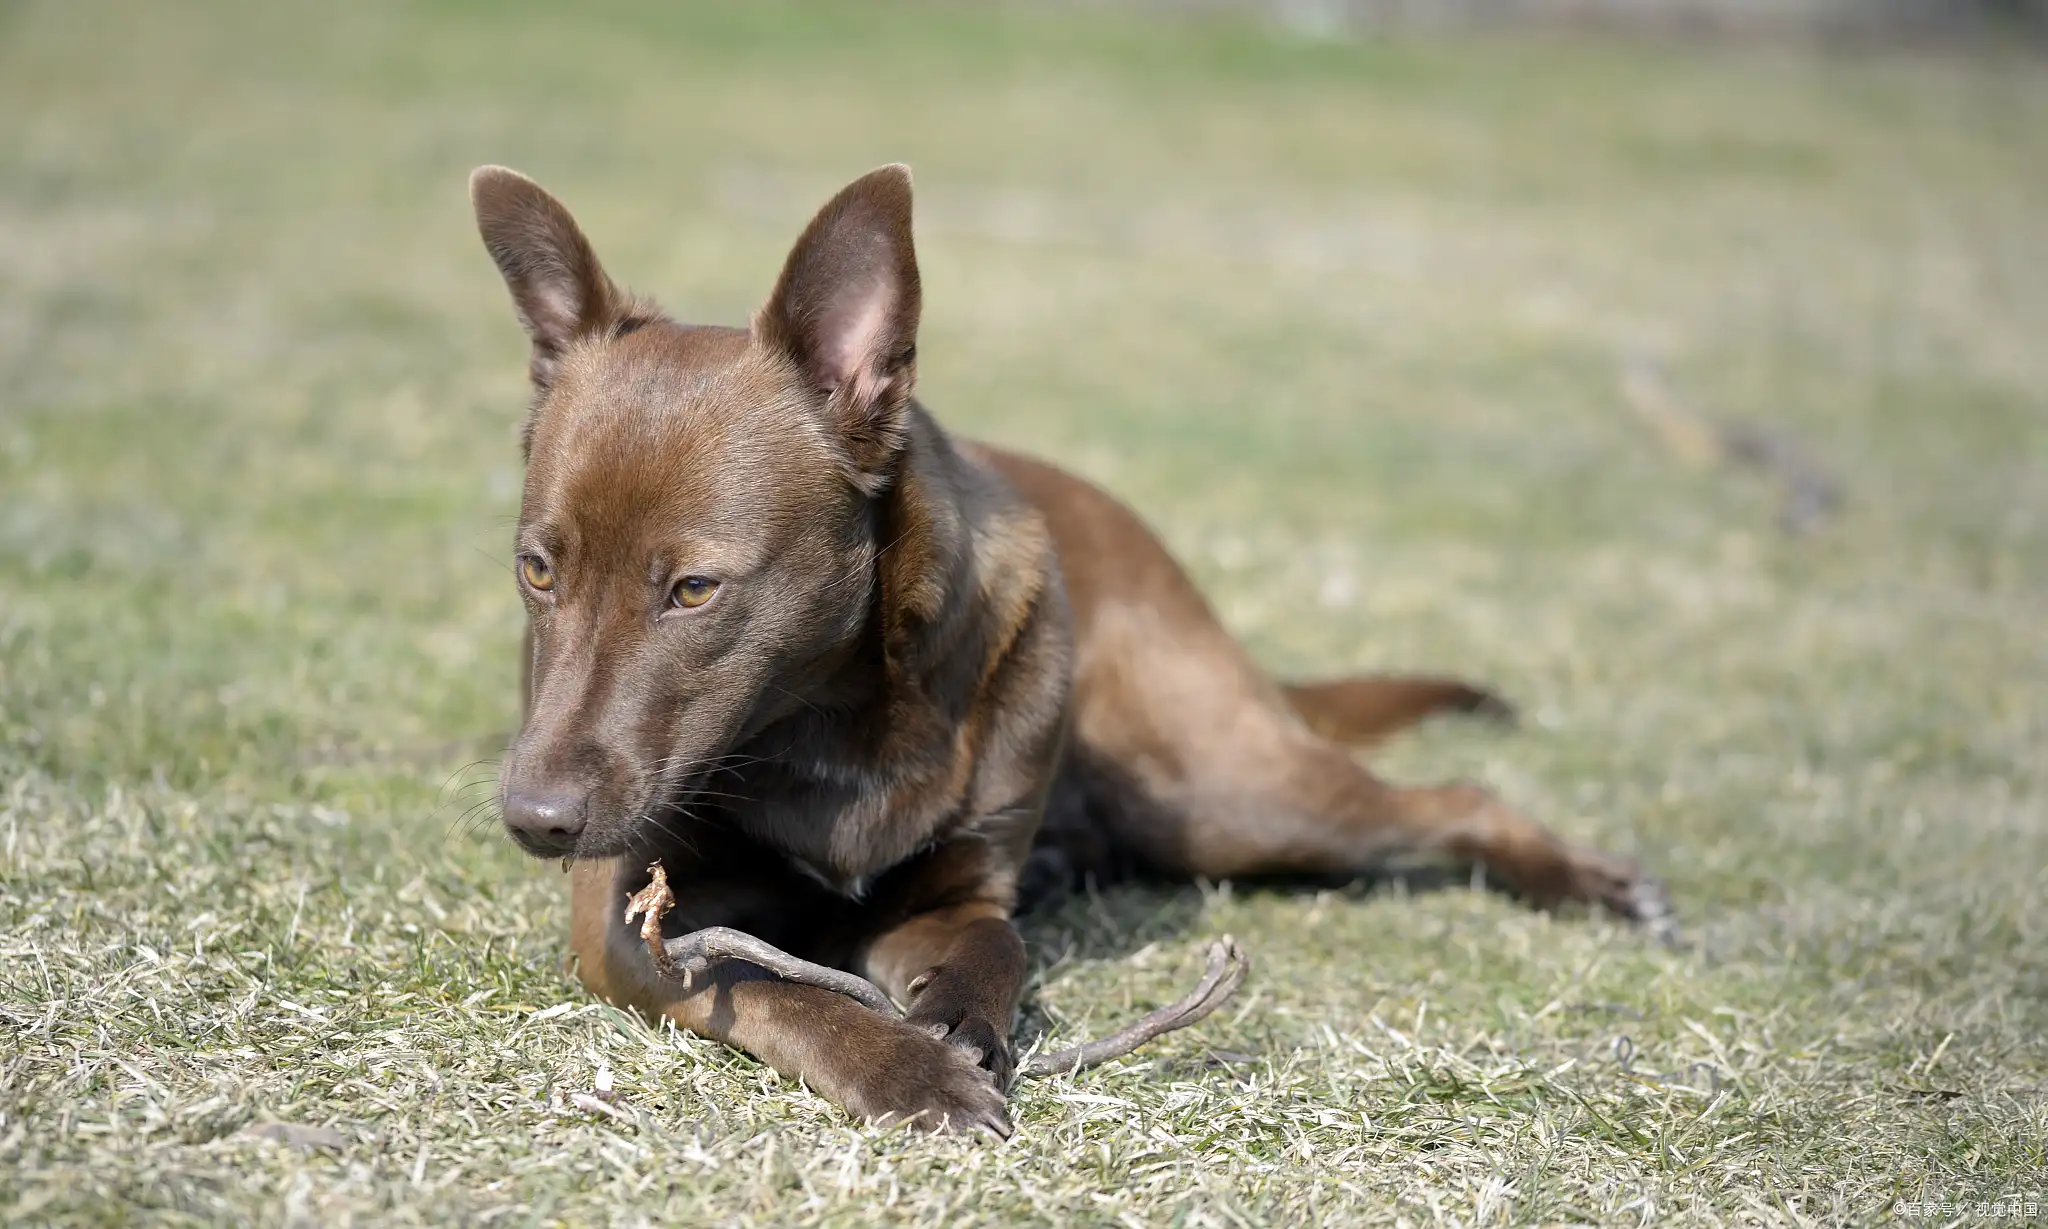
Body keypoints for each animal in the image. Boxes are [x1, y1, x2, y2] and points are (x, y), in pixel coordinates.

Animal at [471, 160, 1671, 1130]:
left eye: (693, 589)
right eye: (538, 570)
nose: (536, 821)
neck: (829, 722)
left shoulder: (954, 897)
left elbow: (990, 944)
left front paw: (957, 1022)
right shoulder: (633, 931)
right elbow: (782, 987)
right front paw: (907, 1067)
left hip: (1217, 792)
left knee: (1447, 796)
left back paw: (1587, 879)